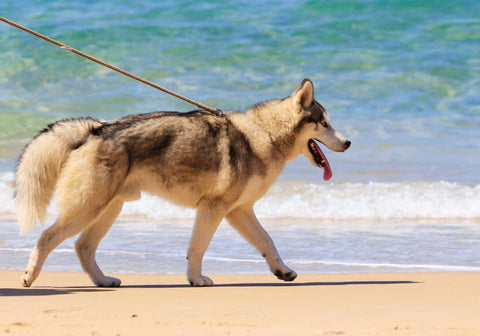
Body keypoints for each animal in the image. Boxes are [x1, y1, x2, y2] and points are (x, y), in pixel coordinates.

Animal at [15, 79, 350, 286]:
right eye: (325, 124)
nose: (348, 143)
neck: (264, 134)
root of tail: (98, 127)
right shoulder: (215, 209)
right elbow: (198, 248)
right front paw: (196, 280)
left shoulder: (238, 212)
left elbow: (267, 242)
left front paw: (282, 270)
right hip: (89, 207)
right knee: (47, 237)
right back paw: (30, 276)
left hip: (109, 209)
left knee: (83, 247)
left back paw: (103, 280)